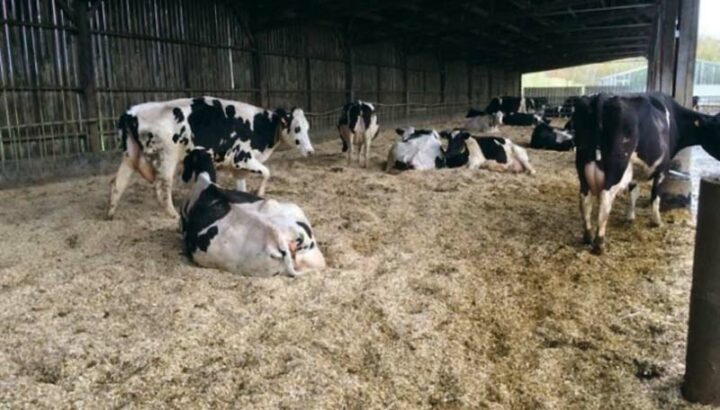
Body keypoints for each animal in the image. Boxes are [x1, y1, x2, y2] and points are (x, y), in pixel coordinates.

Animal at [107, 96, 312, 219]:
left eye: (307, 127)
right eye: (297, 128)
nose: (310, 151)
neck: (259, 125)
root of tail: (131, 112)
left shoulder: (237, 167)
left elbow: (242, 186)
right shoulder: (242, 158)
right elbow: (267, 172)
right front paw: (260, 193)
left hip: (130, 154)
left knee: (118, 183)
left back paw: (110, 213)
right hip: (167, 157)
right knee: (162, 187)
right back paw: (172, 214)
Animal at [572, 92, 720, 253]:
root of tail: (602, 97)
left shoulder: (635, 168)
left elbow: (633, 192)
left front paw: (630, 217)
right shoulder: (663, 167)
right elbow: (655, 194)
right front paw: (656, 221)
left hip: (583, 166)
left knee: (584, 198)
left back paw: (588, 236)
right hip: (616, 167)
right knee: (606, 197)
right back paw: (599, 243)